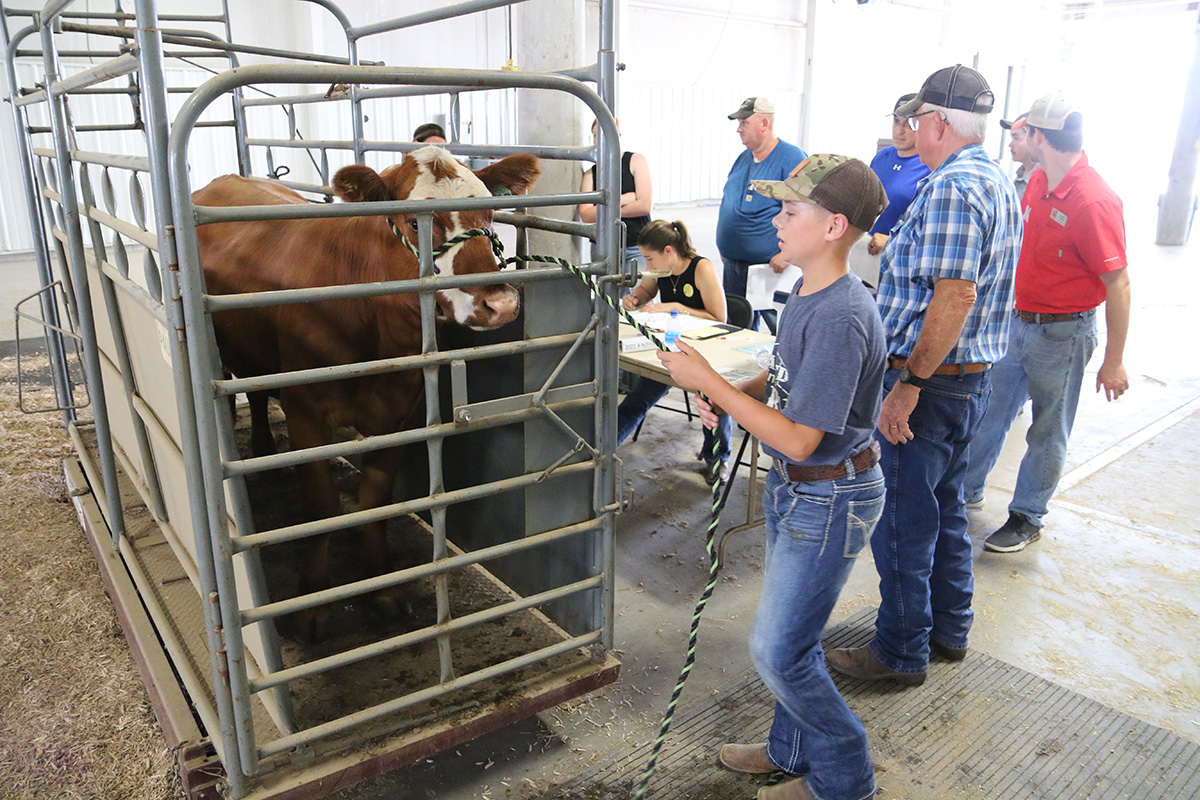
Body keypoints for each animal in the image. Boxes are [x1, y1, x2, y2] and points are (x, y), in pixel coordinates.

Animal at [194, 146, 542, 642]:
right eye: (415, 222)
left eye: (489, 212)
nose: (501, 305)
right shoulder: (306, 414)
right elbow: (322, 506)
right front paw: (313, 603)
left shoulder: (399, 414)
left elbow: (374, 501)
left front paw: (382, 587)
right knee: (251, 395)